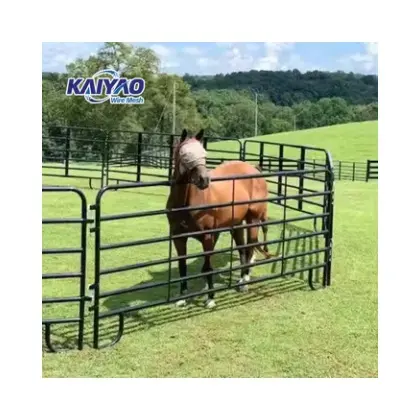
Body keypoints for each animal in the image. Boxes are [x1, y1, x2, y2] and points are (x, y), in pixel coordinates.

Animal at [166, 128, 270, 308]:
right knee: (242, 249)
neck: (188, 203)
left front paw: (210, 298)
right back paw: (241, 278)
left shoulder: (208, 236)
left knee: (250, 247)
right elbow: (182, 266)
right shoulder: (178, 237)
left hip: (253, 220)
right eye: (185, 154)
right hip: (236, 224)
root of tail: (255, 170)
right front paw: (182, 298)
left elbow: (208, 267)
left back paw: (244, 282)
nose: (204, 180)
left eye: (204, 153)